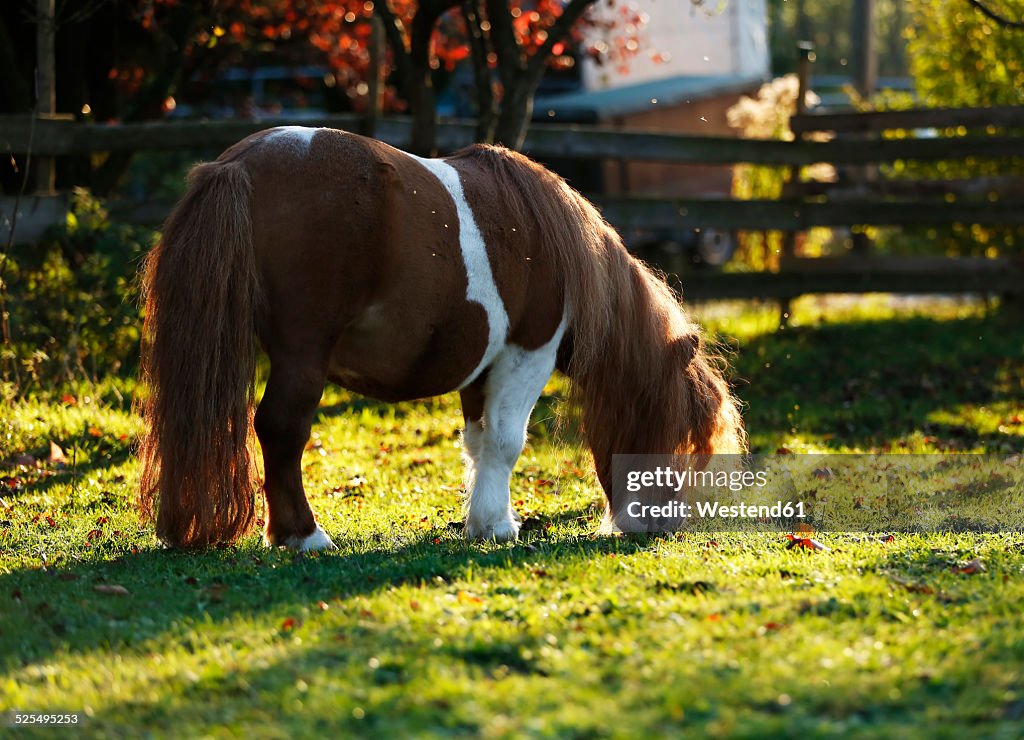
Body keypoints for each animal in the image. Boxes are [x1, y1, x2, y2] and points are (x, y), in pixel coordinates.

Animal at [138, 125, 745, 548]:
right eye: (677, 431)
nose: (656, 525)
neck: (557, 245)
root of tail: (237, 164)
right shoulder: (528, 353)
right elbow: (506, 441)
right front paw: (496, 525)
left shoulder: (484, 368)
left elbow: (478, 441)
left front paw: (487, 520)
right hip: (301, 356)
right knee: (281, 430)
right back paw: (304, 536)